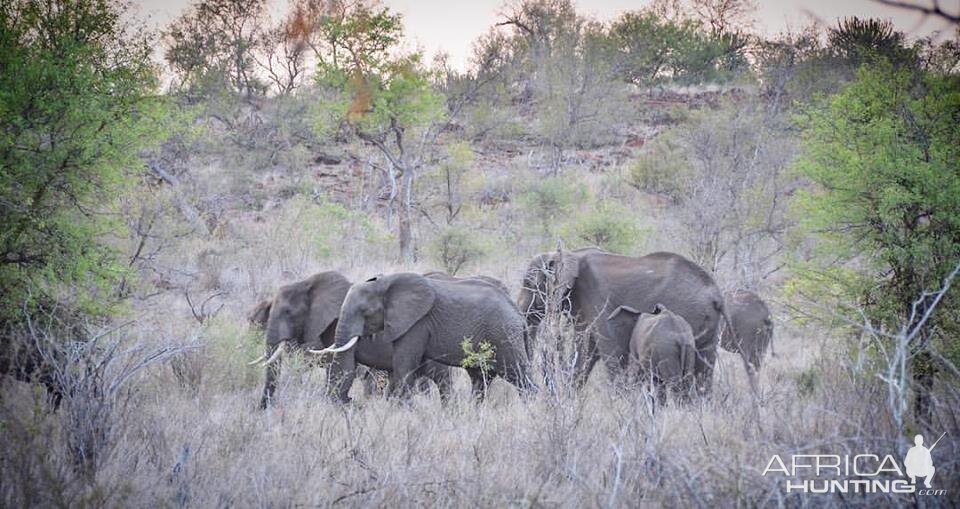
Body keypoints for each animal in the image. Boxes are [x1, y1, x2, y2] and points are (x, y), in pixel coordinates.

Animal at [316, 272, 536, 402]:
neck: (385, 283)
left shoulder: (416, 323)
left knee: (518, 375)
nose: (349, 400)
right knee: (480, 378)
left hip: (504, 335)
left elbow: (404, 366)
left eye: (365, 312)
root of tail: (518, 314)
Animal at [516, 246, 728, 392]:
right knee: (703, 372)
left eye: (528, 283)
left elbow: (607, 349)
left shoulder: (599, 299)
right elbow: (586, 349)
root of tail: (716, 295)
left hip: (690, 312)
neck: (570, 253)